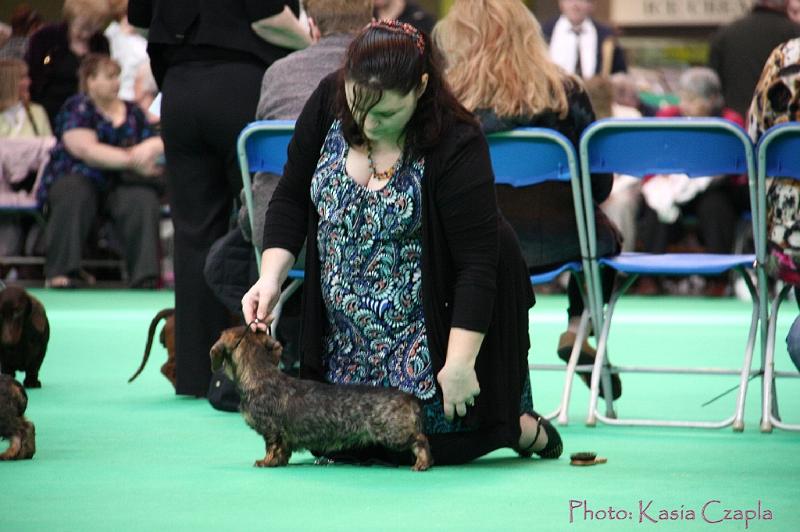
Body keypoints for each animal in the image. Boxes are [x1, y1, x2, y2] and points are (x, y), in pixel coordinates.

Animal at [208, 326, 432, 472]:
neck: (259, 375)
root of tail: (410, 398)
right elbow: (283, 451)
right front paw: (279, 462)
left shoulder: (272, 431)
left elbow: (272, 448)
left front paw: (266, 462)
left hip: (393, 433)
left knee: (421, 440)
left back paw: (422, 463)